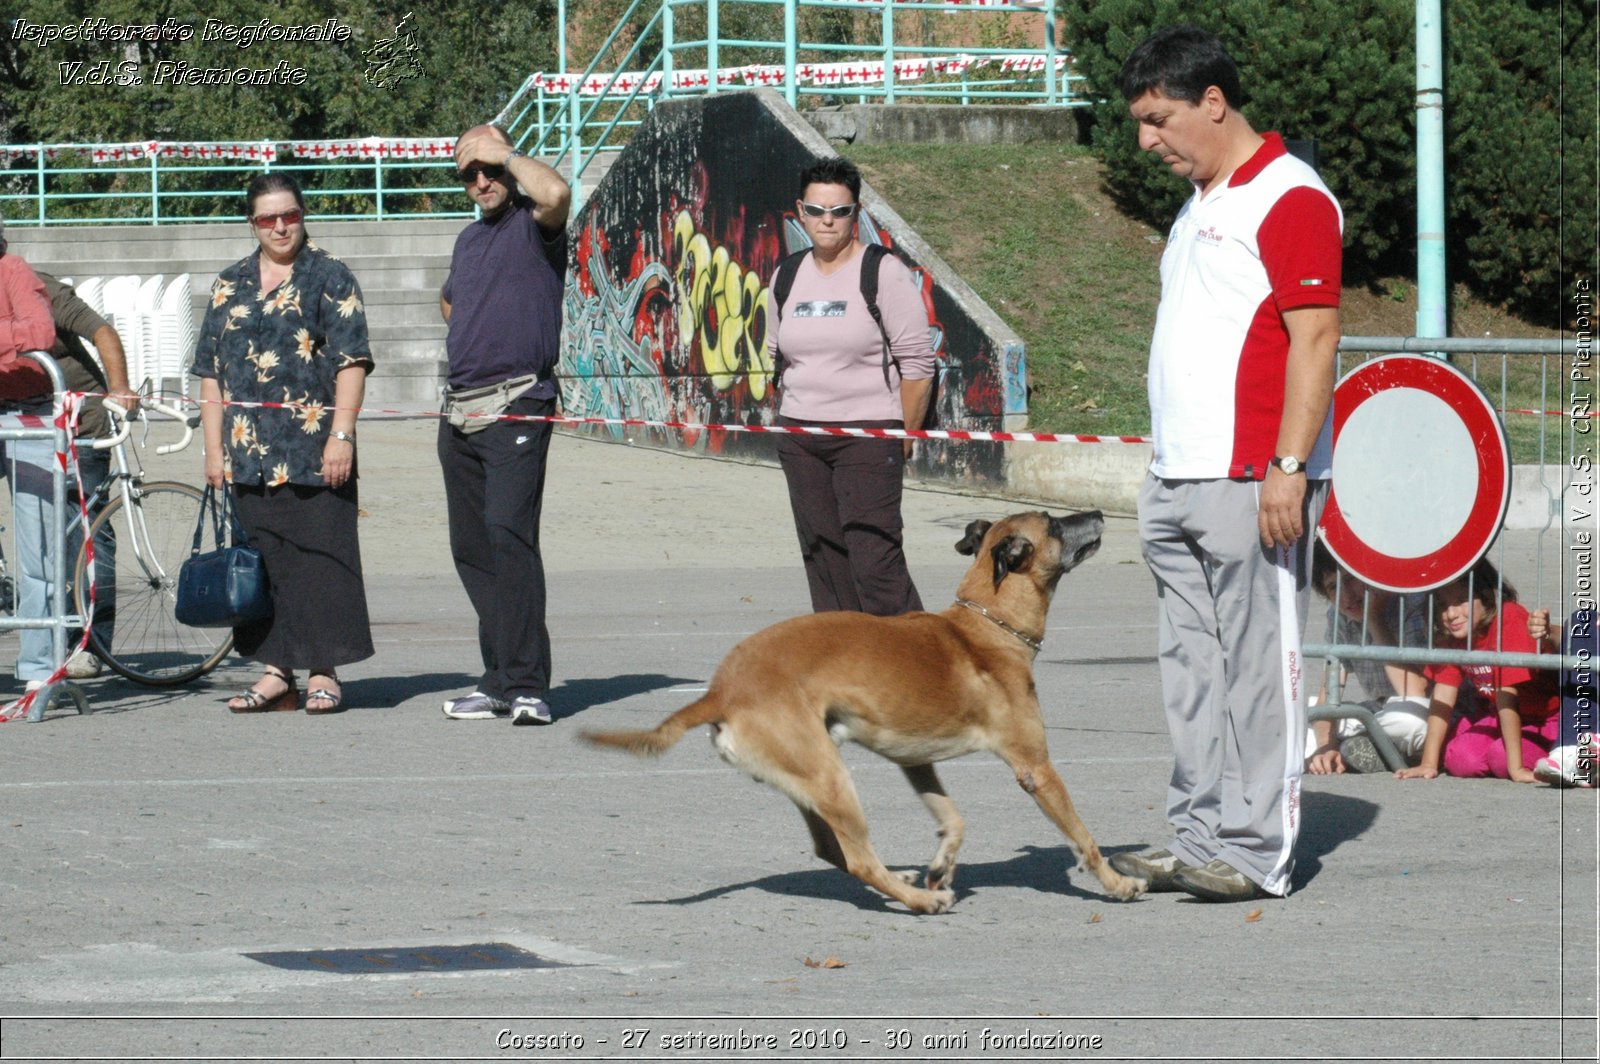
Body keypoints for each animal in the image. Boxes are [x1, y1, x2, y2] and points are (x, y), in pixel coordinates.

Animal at [582, 512, 1145, 908]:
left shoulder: (915, 760)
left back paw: (909, 881)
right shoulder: (1036, 769)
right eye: (1053, 523)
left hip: (810, 784)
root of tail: (722, 690)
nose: (1098, 512)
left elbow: (953, 820)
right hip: (832, 780)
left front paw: (941, 866)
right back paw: (918, 900)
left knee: (832, 850)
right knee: (857, 861)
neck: (985, 627)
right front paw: (1117, 883)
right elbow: (1084, 839)